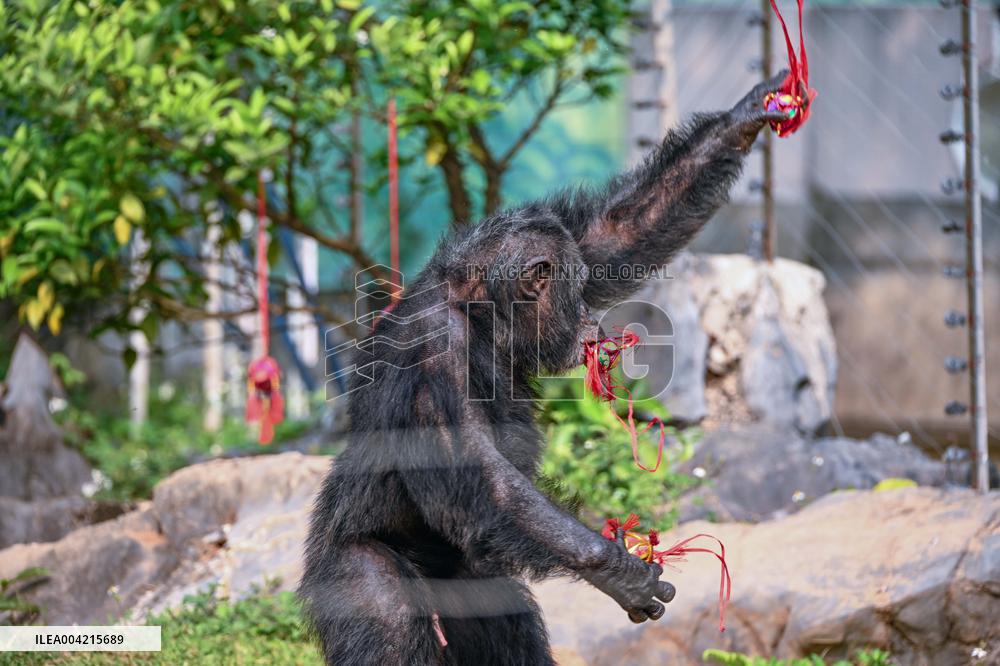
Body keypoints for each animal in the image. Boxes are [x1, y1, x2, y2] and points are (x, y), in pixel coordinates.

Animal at [300, 72, 793, 665]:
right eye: (572, 291)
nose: (586, 315)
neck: (477, 314)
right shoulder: (434, 360)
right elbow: (490, 486)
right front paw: (620, 569)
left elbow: (616, 232)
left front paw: (750, 113)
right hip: (359, 581)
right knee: (388, 625)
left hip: (477, 591)